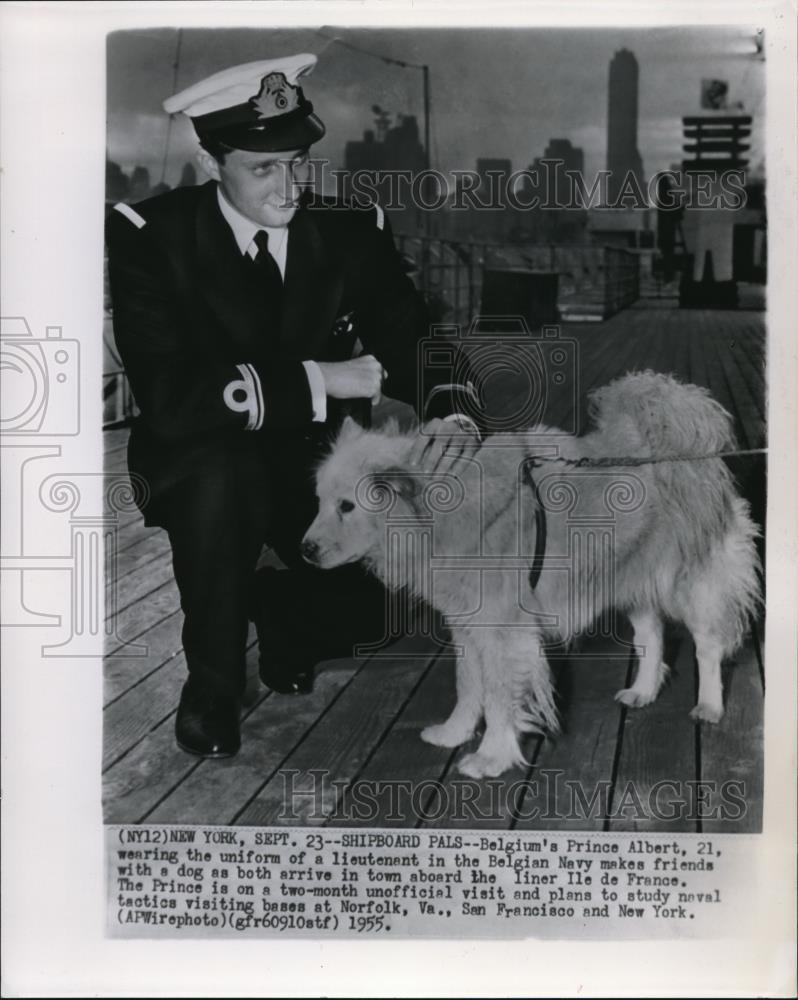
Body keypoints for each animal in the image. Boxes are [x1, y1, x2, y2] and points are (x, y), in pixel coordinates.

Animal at [302, 372, 764, 776]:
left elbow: (498, 698)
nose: (305, 550)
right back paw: (643, 691)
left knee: (708, 647)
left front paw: (491, 757)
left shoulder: (504, 634)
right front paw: (455, 733)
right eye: (320, 501)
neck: (440, 512)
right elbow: (468, 686)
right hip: (631, 580)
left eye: (347, 506)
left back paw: (709, 705)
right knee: (651, 635)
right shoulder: (468, 627)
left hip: (695, 586)